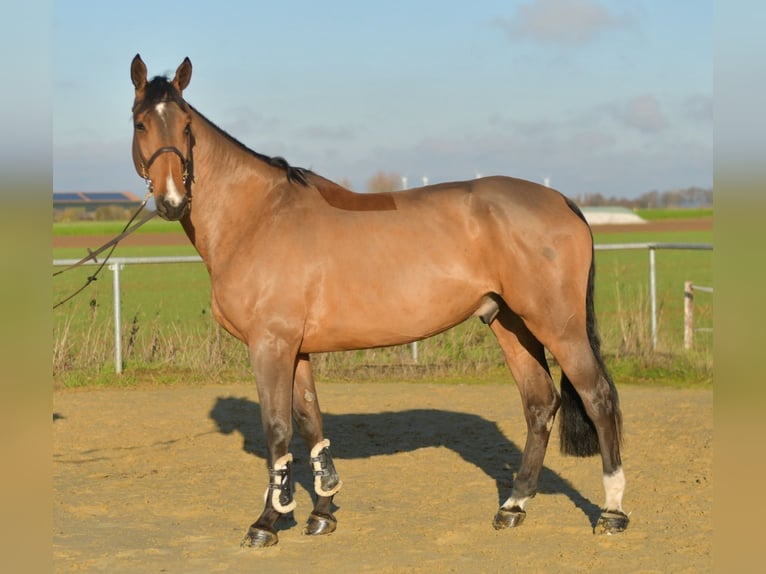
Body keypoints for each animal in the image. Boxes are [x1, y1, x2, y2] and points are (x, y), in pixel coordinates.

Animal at [129, 54, 629, 548]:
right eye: (140, 123)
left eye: (186, 126)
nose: (171, 201)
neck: (258, 216)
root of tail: (561, 199)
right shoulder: (297, 349)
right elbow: (310, 424)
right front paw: (322, 512)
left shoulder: (270, 345)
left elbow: (277, 430)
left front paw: (267, 522)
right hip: (510, 323)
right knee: (539, 403)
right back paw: (513, 505)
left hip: (556, 325)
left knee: (598, 396)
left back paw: (612, 510)